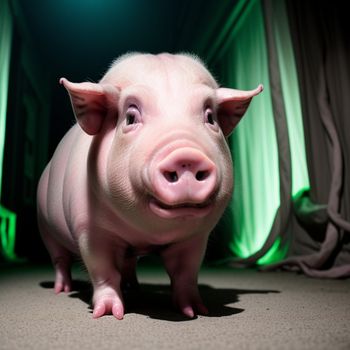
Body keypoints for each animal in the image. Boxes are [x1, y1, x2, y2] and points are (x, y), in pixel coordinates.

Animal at [36, 52, 262, 320]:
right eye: (130, 117)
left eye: (210, 117)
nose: (186, 156)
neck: (148, 235)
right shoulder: (90, 230)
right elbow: (103, 271)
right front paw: (110, 314)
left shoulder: (195, 237)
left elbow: (185, 274)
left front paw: (194, 311)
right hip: (45, 227)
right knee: (60, 260)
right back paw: (62, 289)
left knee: (128, 263)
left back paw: (133, 287)